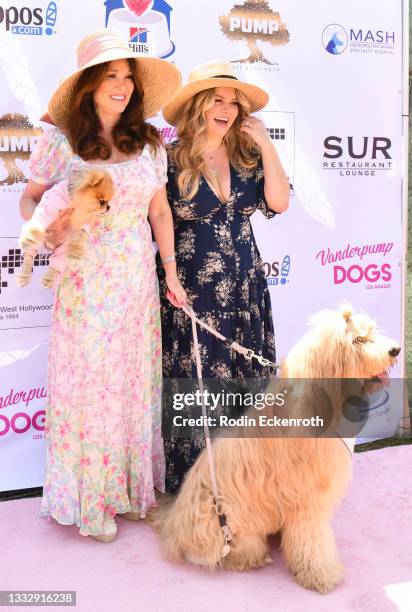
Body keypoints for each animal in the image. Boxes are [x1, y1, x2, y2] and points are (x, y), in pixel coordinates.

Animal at [153, 306, 400, 592]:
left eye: (373, 331)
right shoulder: (307, 498)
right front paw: (321, 574)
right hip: (224, 515)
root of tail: (173, 523)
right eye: (358, 340)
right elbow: (312, 539)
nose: (395, 350)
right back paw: (249, 558)